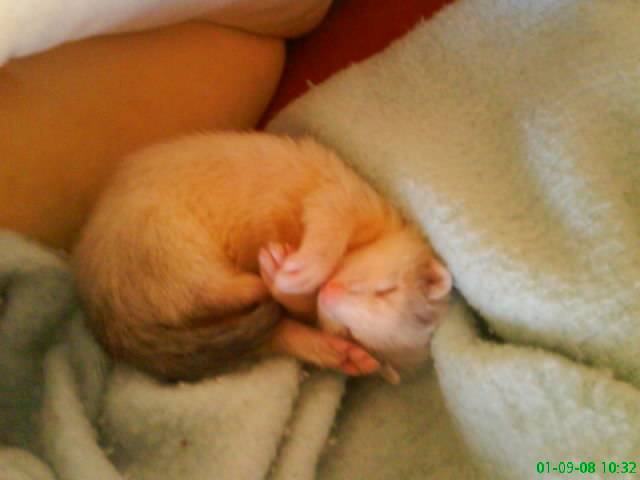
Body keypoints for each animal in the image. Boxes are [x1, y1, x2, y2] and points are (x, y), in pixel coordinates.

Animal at [72, 132, 451, 382]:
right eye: (385, 290)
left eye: (350, 333)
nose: (328, 292)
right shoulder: (342, 197)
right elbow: (329, 221)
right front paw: (301, 268)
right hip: (171, 244)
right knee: (205, 291)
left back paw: (329, 351)